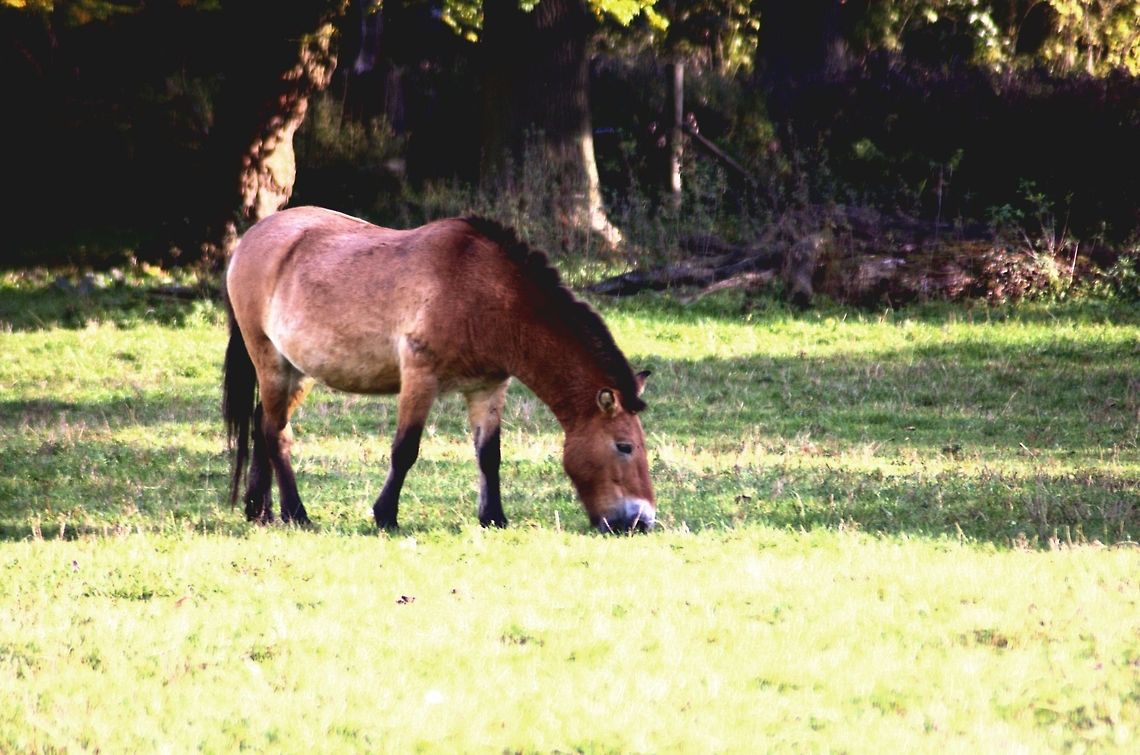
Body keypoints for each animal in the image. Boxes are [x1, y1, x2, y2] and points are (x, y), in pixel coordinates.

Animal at [222, 206, 656, 533]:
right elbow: (405, 449)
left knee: (262, 423)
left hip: (300, 371)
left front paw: (493, 517)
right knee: (277, 433)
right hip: (271, 360)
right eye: (624, 446)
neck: (484, 294)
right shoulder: (420, 377)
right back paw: (295, 513)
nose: (642, 521)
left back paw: (259, 510)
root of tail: (251, 238)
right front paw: (385, 516)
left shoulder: (488, 387)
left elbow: (489, 455)